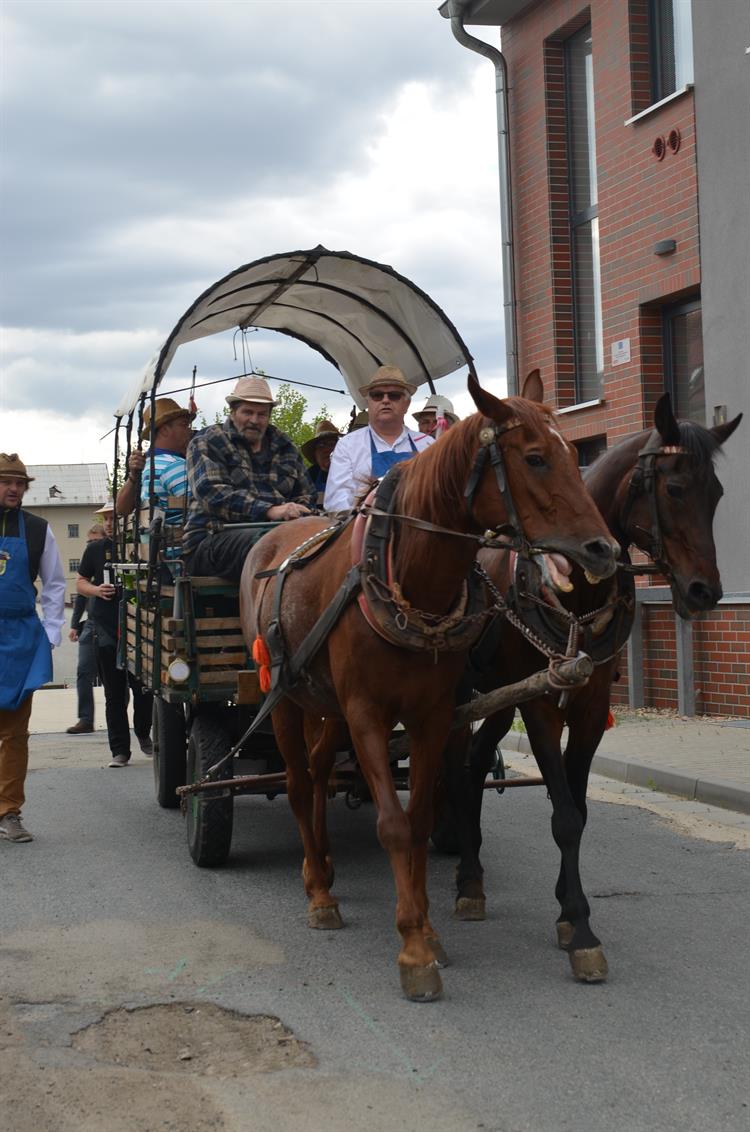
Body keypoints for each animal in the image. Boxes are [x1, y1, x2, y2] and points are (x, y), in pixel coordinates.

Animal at [237, 378, 619, 1000]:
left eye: (572, 453)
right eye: (535, 458)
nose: (603, 551)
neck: (410, 576)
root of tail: (272, 541)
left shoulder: (431, 715)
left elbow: (417, 821)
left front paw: (429, 929)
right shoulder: (367, 713)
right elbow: (392, 825)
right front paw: (413, 948)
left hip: (327, 707)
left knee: (318, 773)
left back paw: (324, 864)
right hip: (286, 699)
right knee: (295, 783)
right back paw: (318, 890)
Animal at [447, 396, 742, 982]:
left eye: (717, 493)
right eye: (676, 489)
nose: (706, 591)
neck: (575, 594)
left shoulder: (589, 708)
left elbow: (579, 811)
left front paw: (569, 910)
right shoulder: (542, 707)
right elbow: (563, 817)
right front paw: (581, 929)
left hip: (500, 698)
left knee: (473, 765)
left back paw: (472, 872)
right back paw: (465, 875)